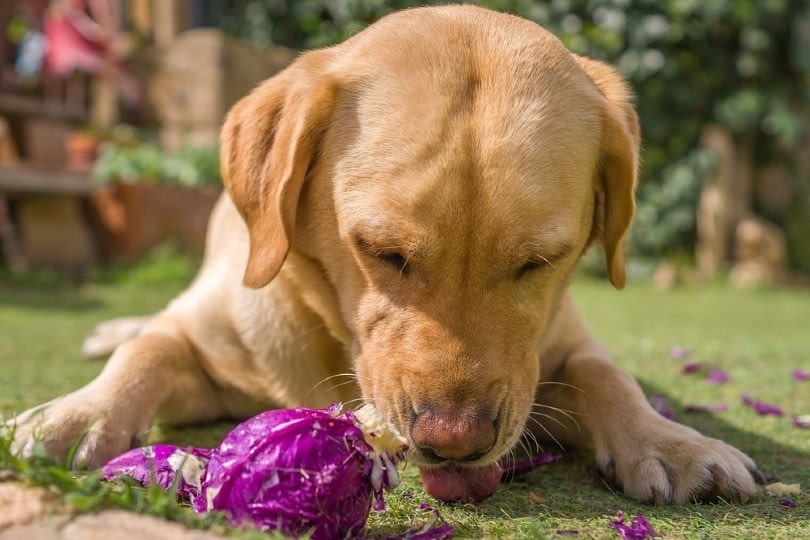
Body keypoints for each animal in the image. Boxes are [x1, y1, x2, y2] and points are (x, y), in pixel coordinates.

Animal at [11, 2, 756, 504]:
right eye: (382, 252)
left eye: (541, 261)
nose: (454, 441)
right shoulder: (205, 346)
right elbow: (151, 350)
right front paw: (74, 415)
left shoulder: (559, 353)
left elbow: (607, 375)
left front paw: (671, 442)